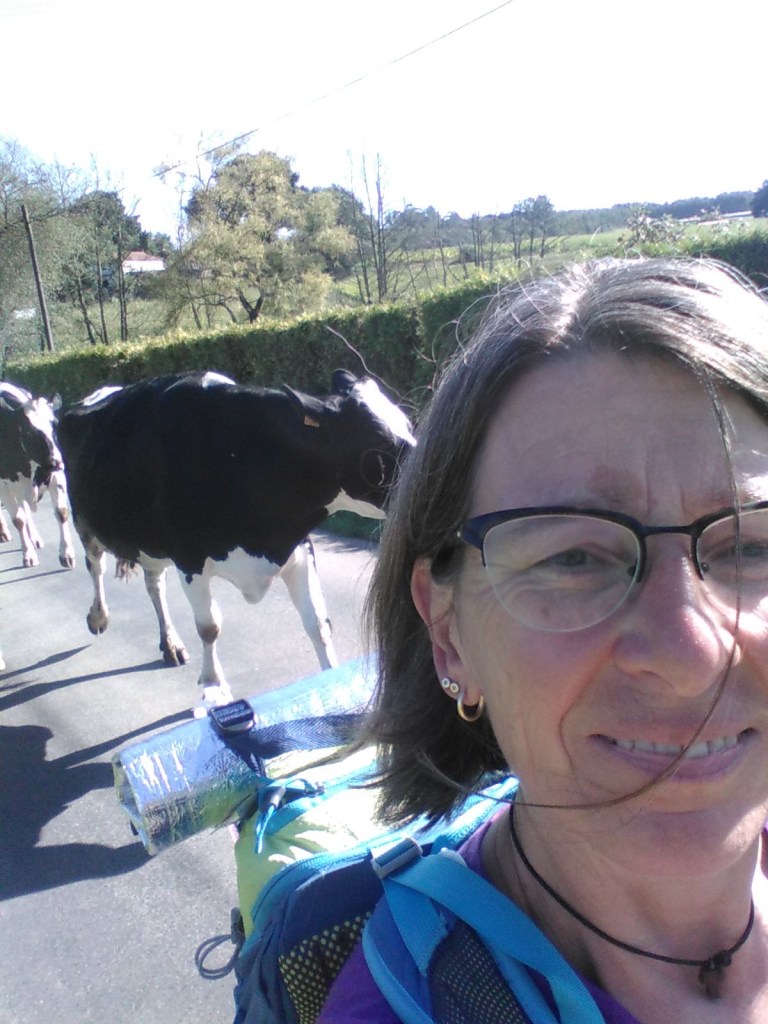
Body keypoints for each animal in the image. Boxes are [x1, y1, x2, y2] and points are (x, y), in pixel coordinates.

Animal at [0, 383, 69, 569]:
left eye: (55, 425)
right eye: (28, 433)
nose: (56, 462)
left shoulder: (56, 477)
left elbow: (61, 512)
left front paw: (67, 554)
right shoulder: (3, 485)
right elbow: (18, 519)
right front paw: (28, 555)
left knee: (25, 507)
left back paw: (35, 538)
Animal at [56, 369, 415, 713]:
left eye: (409, 425)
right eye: (377, 447)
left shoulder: (298, 547)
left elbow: (318, 623)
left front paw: (332, 678)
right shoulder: (190, 560)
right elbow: (209, 627)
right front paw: (214, 687)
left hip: (149, 541)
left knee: (154, 583)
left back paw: (171, 644)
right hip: (84, 519)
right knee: (95, 565)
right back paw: (99, 616)